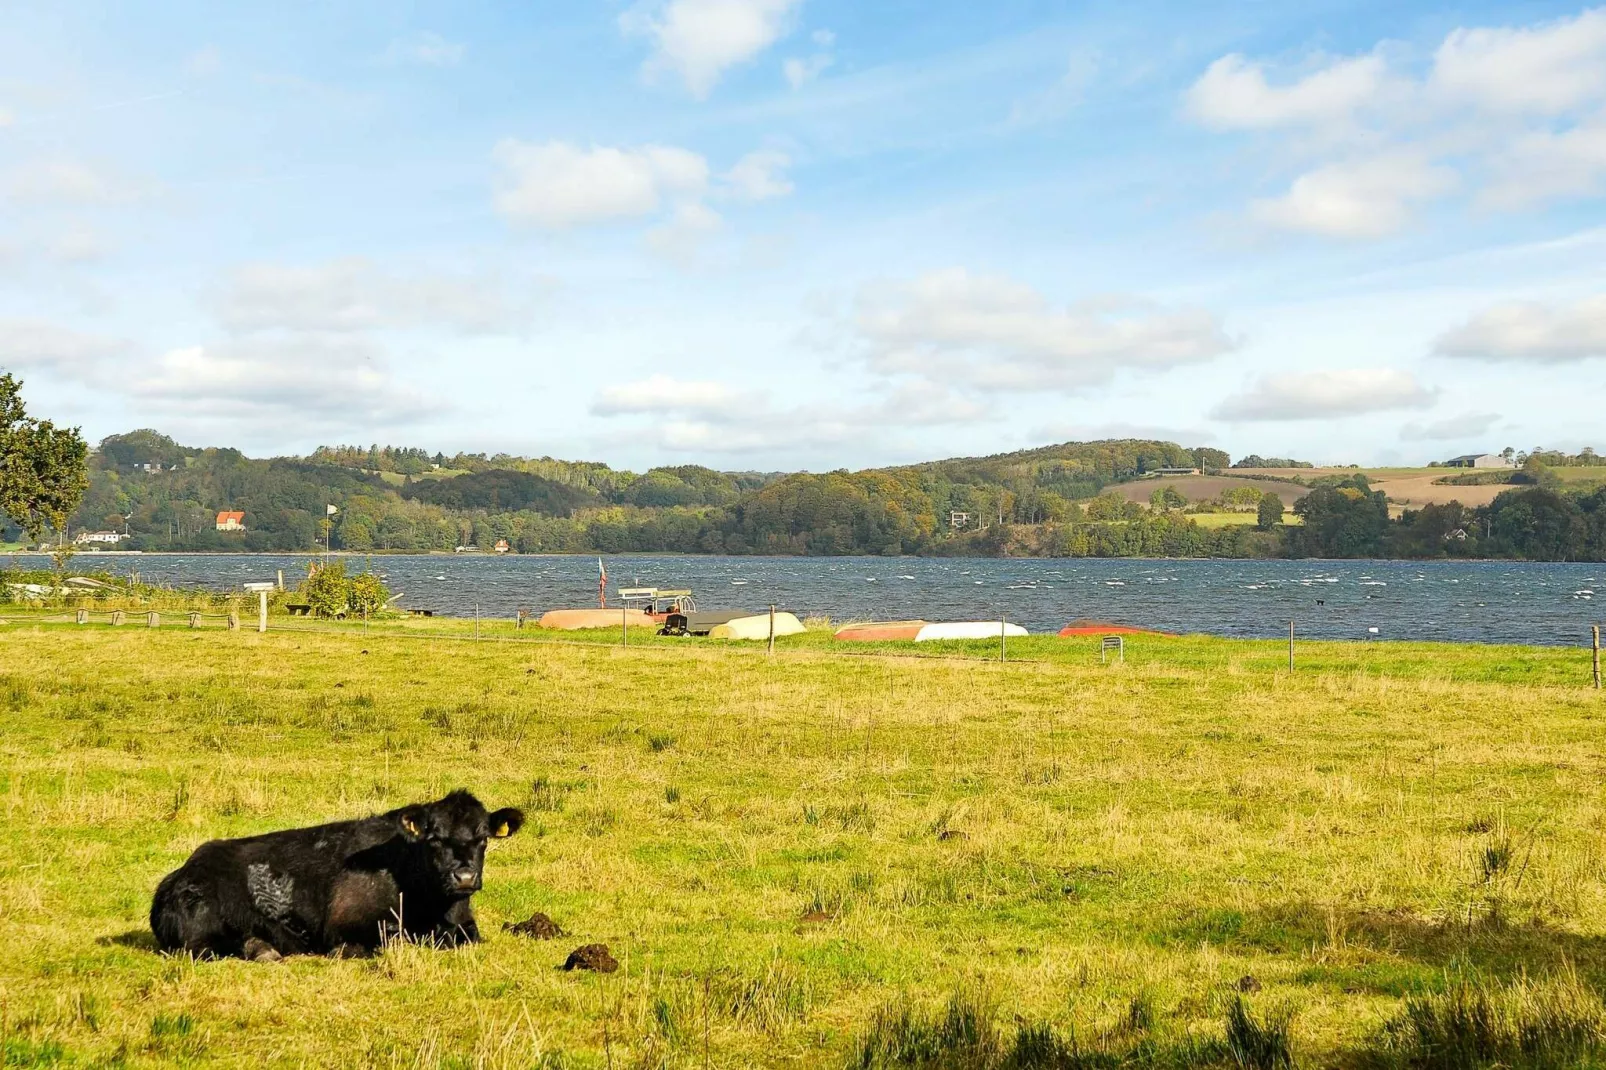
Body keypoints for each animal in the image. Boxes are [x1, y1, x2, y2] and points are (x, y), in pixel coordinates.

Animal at [150, 784, 526, 957]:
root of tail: (182, 873)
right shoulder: (346, 928)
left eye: (483, 838)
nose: (464, 878)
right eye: (434, 838)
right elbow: (391, 939)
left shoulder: (464, 925)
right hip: (202, 930)